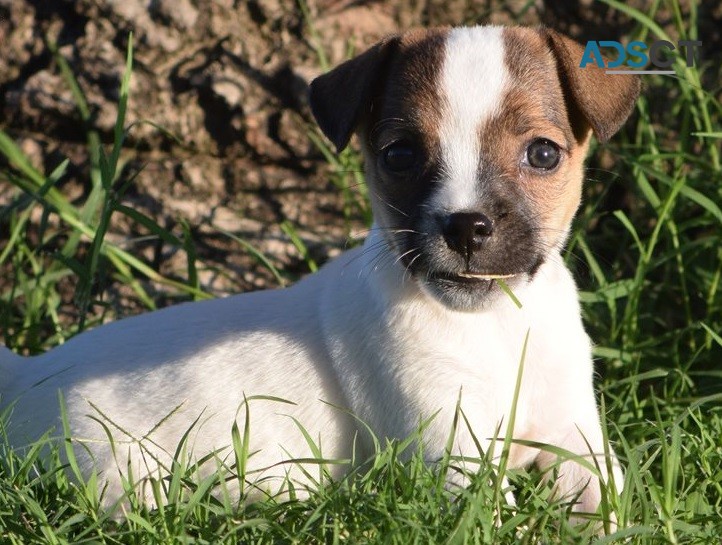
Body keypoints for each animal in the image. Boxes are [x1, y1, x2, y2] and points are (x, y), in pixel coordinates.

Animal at [2, 25, 640, 520]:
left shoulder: (574, 435)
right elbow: (495, 511)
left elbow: (608, 498)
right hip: (117, 470)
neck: (494, 329)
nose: (465, 227)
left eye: (543, 154)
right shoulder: (451, 446)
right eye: (400, 155)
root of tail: (24, 375)